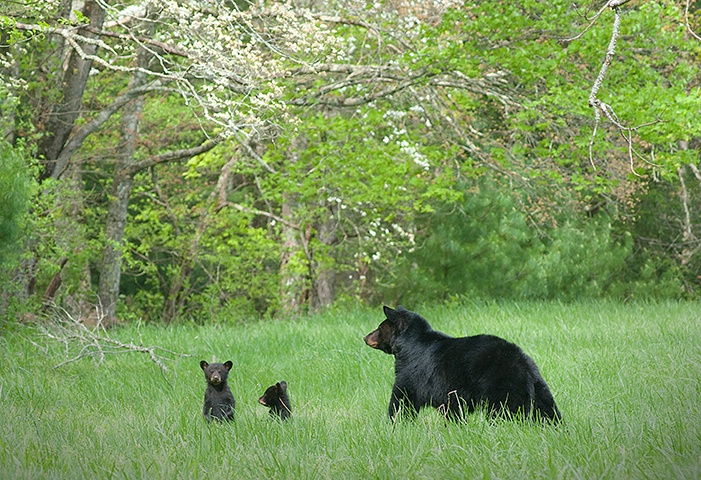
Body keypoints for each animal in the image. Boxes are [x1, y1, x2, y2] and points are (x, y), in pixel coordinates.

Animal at [364, 306, 560, 422]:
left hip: (502, 384)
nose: (365, 337)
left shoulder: (412, 373)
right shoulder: (450, 396)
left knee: (505, 410)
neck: (407, 345)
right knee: (547, 410)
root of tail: (521, 360)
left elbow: (402, 399)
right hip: (539, 386)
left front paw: (394, 422)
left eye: (379, 328)